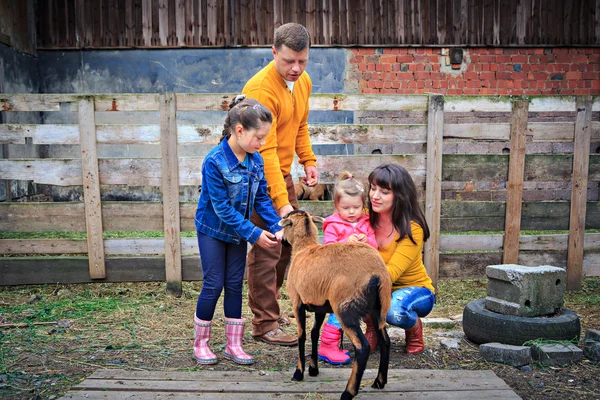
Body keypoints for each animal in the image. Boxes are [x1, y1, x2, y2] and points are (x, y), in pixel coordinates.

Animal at [278, 211, 392, 398]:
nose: (282, 241)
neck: (303, 249)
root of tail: (377, 273)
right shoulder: (319, 306)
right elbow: (314, 333)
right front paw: (313, 369)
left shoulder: (297, 302)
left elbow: (302, 335)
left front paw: (298, 373)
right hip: (379, 308)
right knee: (385, 341)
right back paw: (379, 382)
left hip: (345, 308)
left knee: (363, 347)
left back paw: (348, 392)